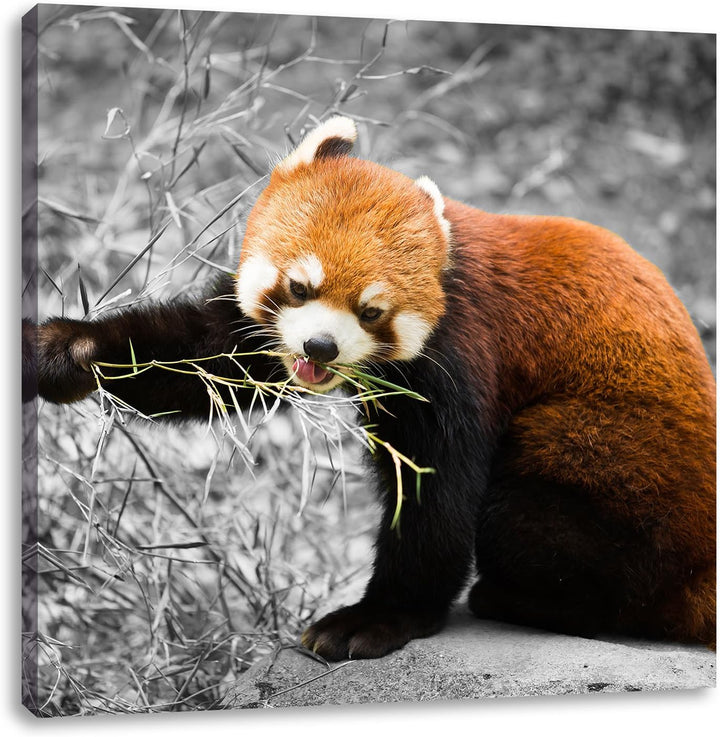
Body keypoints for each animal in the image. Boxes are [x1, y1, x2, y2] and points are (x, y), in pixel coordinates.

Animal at [25, 116, 716, 660]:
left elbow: (437, 494)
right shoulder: (258, 334)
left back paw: (518, 599)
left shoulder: (461, 355)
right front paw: (66, 351)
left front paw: (379, 618)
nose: (320, 347)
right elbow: (207, 357)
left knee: (524, 520)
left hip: (606, 466)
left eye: (371, 311)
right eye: (300, 287)